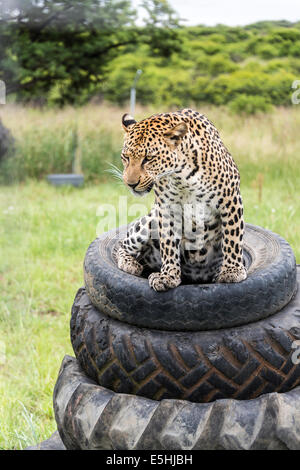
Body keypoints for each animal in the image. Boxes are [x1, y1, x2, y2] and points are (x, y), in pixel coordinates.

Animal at [116, 108, 247, 290]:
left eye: (148, 158)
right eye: (125, 157)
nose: (130, 184)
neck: (181, 176)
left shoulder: (230, 199)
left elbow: (232, 237)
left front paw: (232, 271)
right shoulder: (167, 208)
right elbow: (168, 242)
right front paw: (168, 275)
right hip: (149, 220)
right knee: (122, 245)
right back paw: (130, 263)